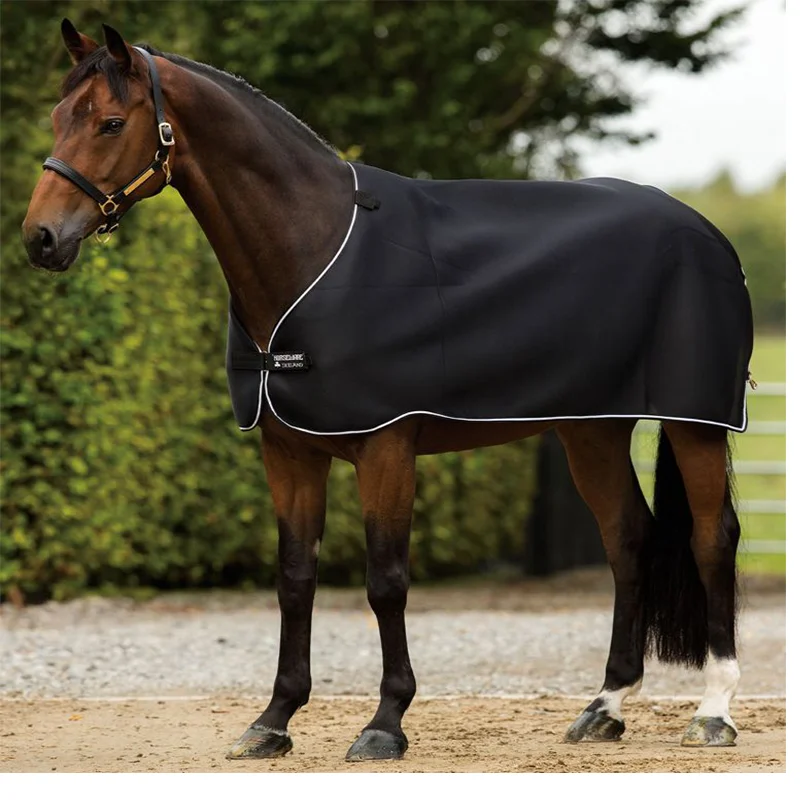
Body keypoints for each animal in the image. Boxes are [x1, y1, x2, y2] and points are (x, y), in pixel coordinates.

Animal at [22, 20, 752, 762]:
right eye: (57, 117)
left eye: (111, 123)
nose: (40, 239)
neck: (313, 252)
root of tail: (705, 232)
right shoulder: (289, 454)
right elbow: (295, 579)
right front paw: (273, 720)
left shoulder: (387, 449)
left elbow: (386, 581)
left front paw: (385, 723)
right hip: (592, 430)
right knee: (627, 538)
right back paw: (604, 707)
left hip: (694, 423)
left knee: (712, 538)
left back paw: (713, 712)